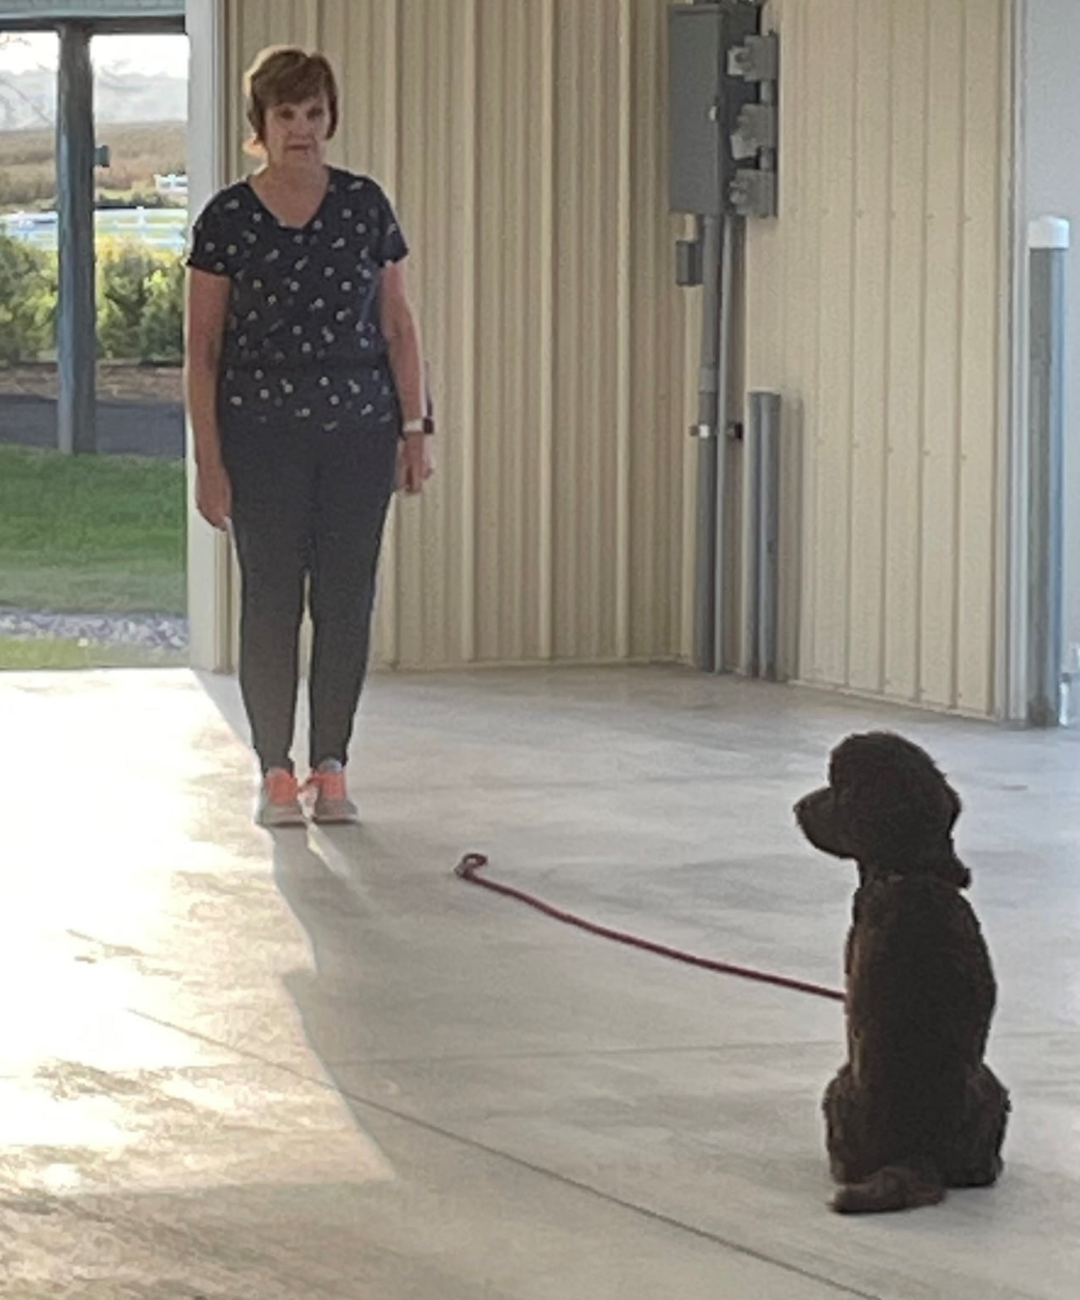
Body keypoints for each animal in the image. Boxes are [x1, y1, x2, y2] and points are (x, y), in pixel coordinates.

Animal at [794, 731, 1010, 1214]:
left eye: (837, 787)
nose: (798, 807)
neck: (910, 872)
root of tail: (916, 1150)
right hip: (993, 1088)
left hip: (836, 1088)